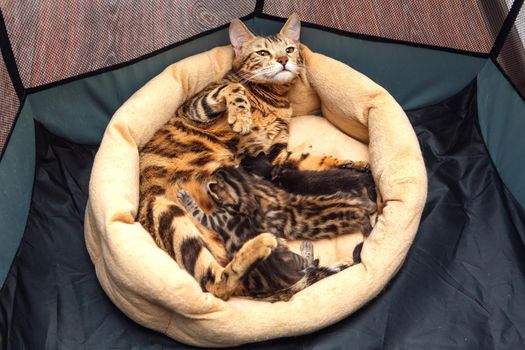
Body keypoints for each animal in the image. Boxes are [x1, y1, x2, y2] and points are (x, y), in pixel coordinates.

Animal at [137, 13, 370, 300]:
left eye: (289, 49)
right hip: (164, 210)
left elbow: (316, 160)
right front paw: (241, 116)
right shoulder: (195, 108)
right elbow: (233, 87)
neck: (272, 100)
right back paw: (261, 245)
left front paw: (357, 165)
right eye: (262, 53)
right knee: (215, 285)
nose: (283, 60)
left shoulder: (276, 155)